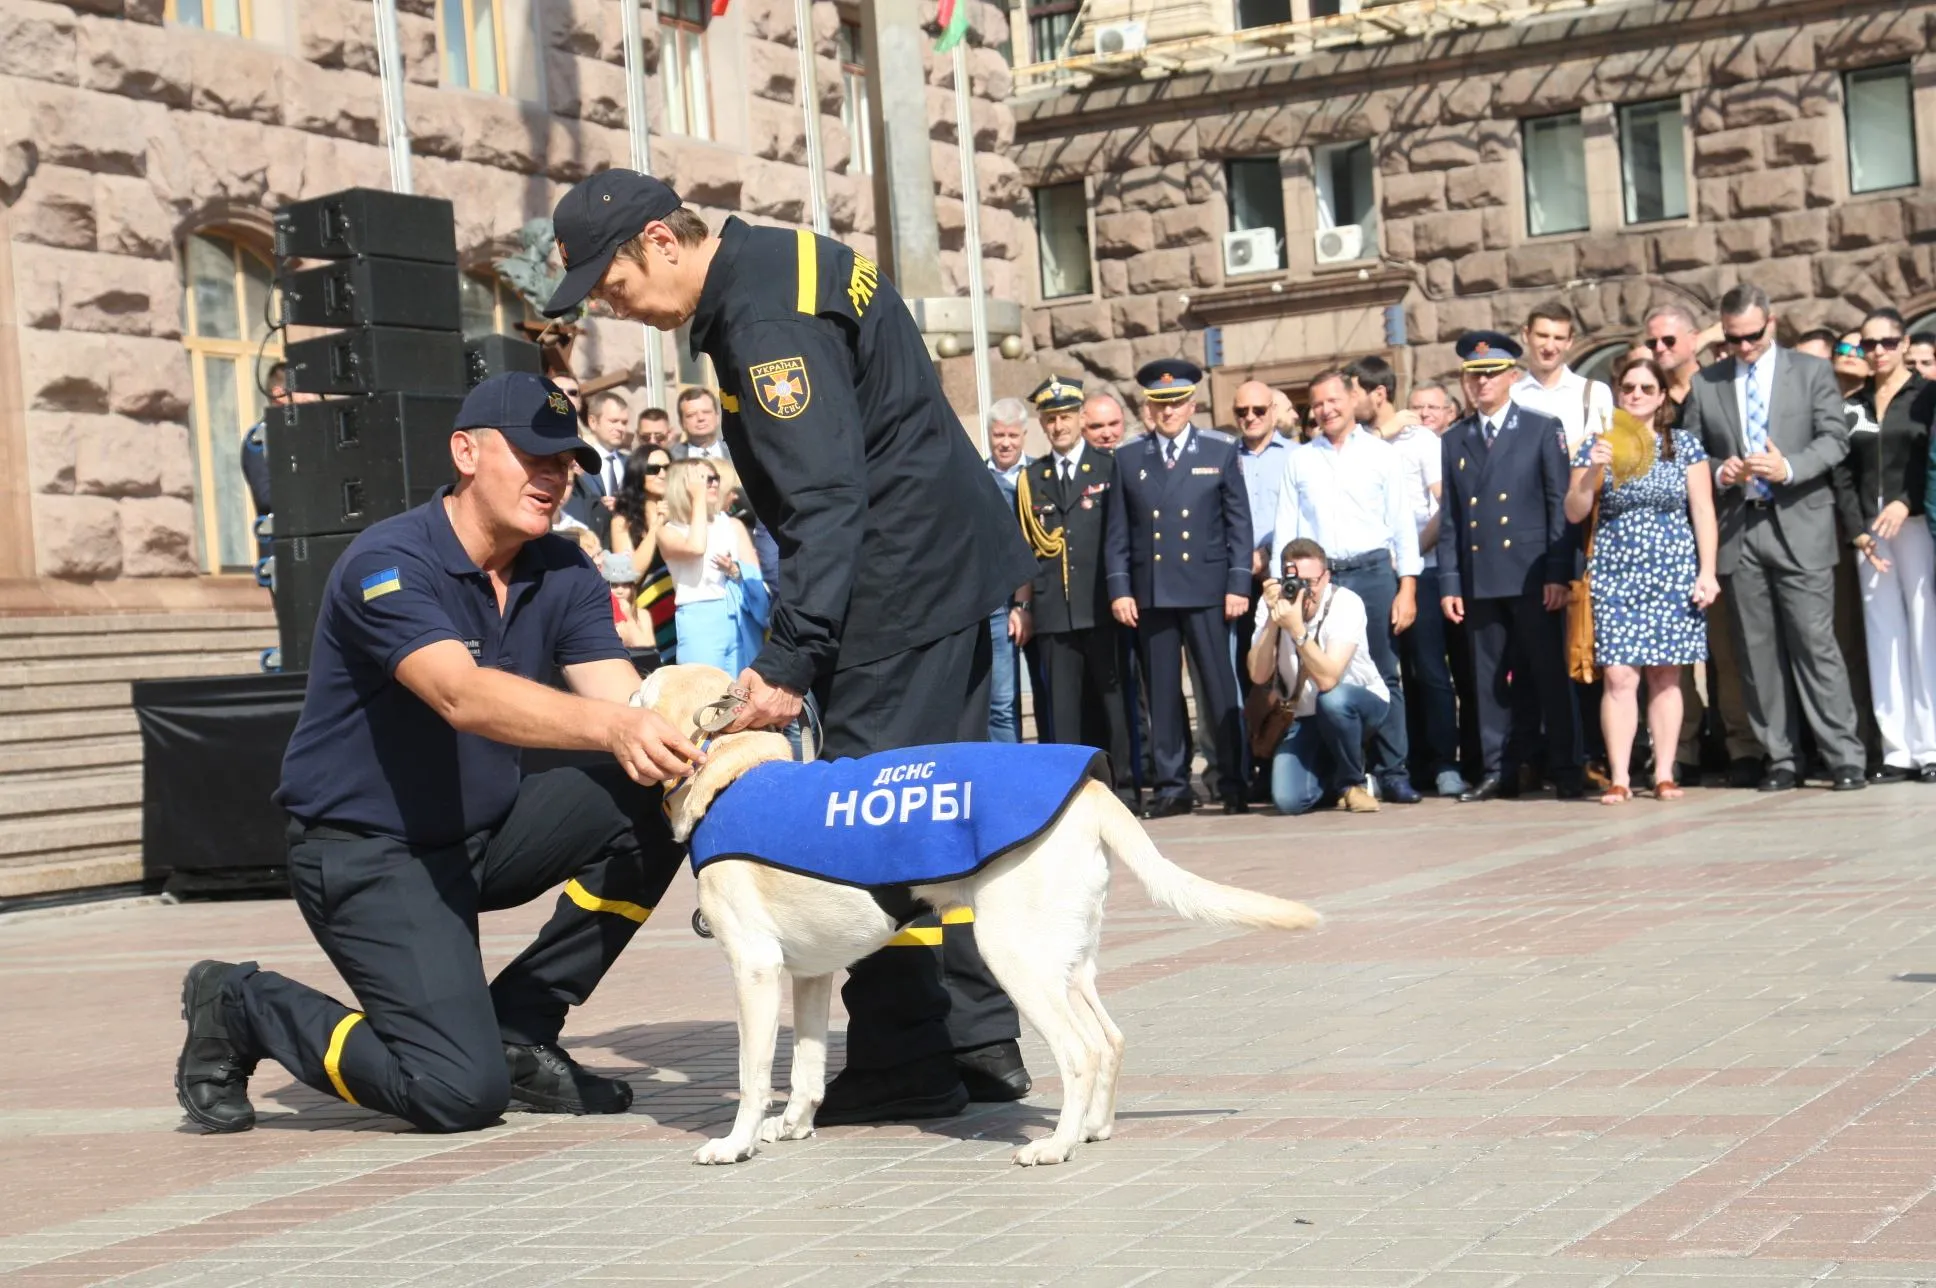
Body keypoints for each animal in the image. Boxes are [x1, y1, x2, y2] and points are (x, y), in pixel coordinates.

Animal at [635, 662, 1316, 1162]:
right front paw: (794, 1126)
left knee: (1080, 1052)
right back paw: (1091, 1128)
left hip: (1013, 954)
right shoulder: (810, 974)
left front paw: (735, 1144)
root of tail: (1093, 790)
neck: (734, 776)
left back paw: (1056, 1146)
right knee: (1110, 1039)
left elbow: (752, 1076)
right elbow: (805, 1067)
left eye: (641, 693)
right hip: (1068, 960)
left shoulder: (754, 969)